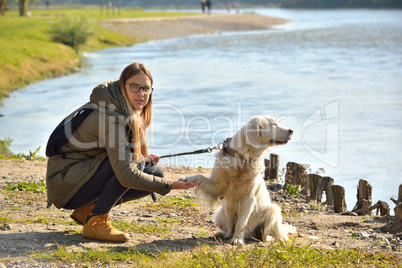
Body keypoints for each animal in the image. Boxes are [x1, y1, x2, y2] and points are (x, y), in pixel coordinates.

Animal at [181, 115, 296, 245]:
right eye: (273, 124)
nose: (291, 130)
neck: (242, 157)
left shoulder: (248, 198)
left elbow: (241, 223)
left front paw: (236, 239)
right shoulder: (216, 185)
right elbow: (199, 176)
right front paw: (186, 179)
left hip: (273, 210)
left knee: (269, 235)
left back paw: (267, 238)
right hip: (219, 213)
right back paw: (221, 234)